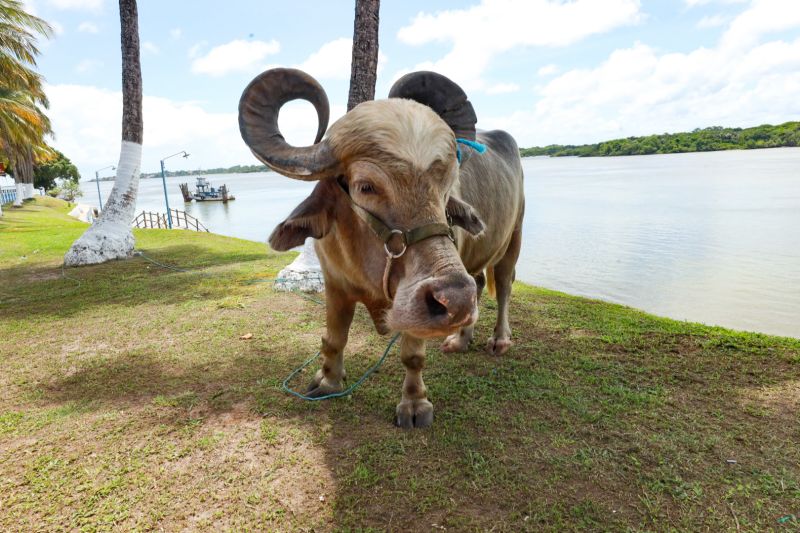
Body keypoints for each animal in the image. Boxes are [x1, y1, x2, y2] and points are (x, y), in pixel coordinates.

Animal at [238, 68, 524, 426]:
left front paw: (414, 404)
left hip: (513, 238)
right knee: (481, 281)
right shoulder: (334, 284)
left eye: (446, 185)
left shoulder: (415, 304)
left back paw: (499, 339)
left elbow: (412, 356)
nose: (456, 300)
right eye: (365, 187)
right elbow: (334, 338)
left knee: (503, 287)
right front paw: (328, 380)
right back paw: (461, 339)